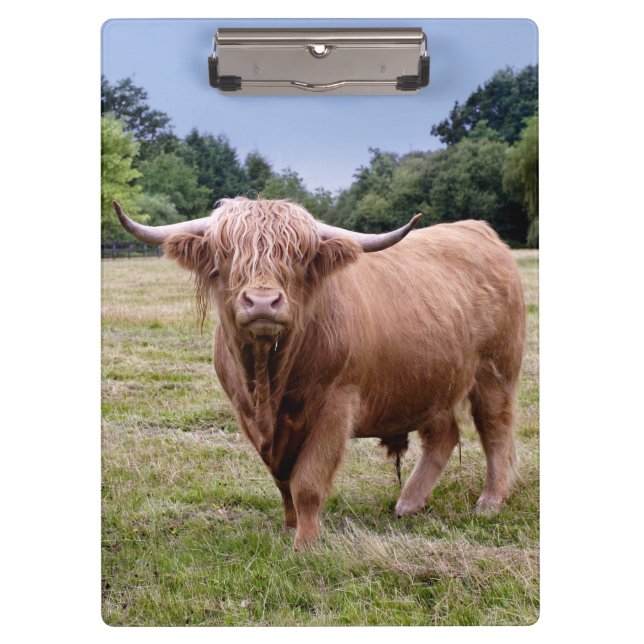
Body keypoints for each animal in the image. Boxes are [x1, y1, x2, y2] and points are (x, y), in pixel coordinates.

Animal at [113, 198, 525, 549]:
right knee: (443, 436)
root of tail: (479, 230)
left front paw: (306, 542)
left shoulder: (335, 406)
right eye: (226, 253)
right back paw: (409, 503)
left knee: (495, 430)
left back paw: (490, 501)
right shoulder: (248, 415)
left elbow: (307, 481)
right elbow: (282, 480)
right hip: (430, 381)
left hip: (495, 373)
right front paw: (290, 525)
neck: (269, 383)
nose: (262, 302)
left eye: (298, 256)